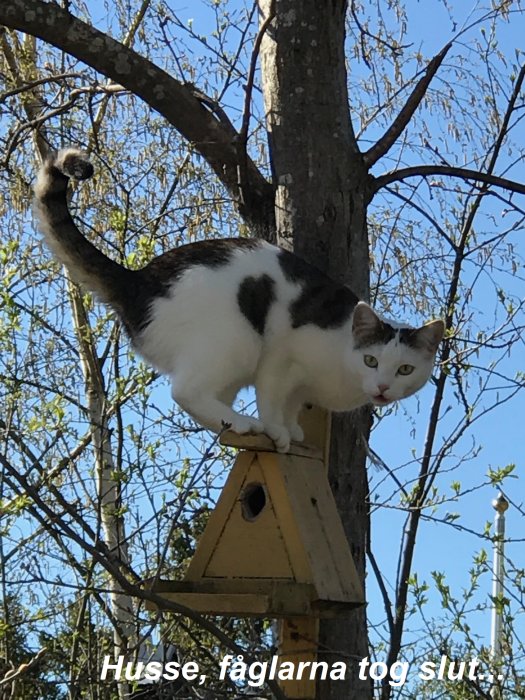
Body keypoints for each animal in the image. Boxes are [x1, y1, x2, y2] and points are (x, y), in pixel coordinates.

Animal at [33, 150, 442, 452]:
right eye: (371, 360)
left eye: (405, 369)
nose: (383, 388)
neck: (342, 365)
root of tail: (138, 280)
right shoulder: (280, 357)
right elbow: (272, 398)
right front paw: (278, 431)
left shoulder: (299, 387)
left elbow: (291, 405)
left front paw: (292, 429)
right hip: (239, 341)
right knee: (185, 391)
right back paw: (249, 425)